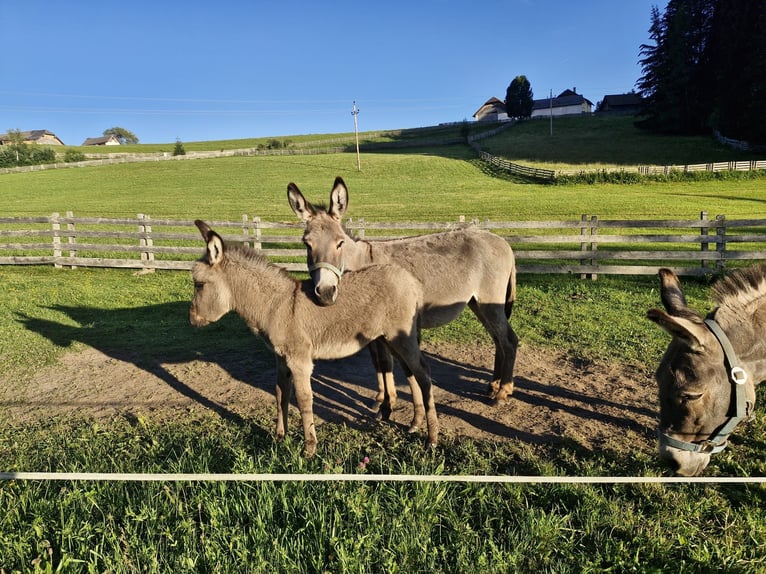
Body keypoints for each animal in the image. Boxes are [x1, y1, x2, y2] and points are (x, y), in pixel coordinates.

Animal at [189, 220, 438, 457]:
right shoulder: (281, 358)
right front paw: (279, 438)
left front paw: (309, 448)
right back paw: (415, 424)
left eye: (199, 285)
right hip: (390, 339)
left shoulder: (299, 360)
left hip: (401, 338)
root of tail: (410, 280)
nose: (192, 319)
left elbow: (303, 399)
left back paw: (432, 438)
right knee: (410, 372)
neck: (277, 306)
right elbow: (280, 393)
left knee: (423, 374)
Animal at [287, 177, 519, 418]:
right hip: (478, 303)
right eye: (307, 244)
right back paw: (493, 386)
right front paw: (381, 400)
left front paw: (387, 406)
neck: (360, 263)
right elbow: (377, 363)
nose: (325, 293)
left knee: (509, 340)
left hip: (490, 302)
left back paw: (502, 393)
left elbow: (384, 362)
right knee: (498, 340)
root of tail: (503, 241)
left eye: (339, 243)